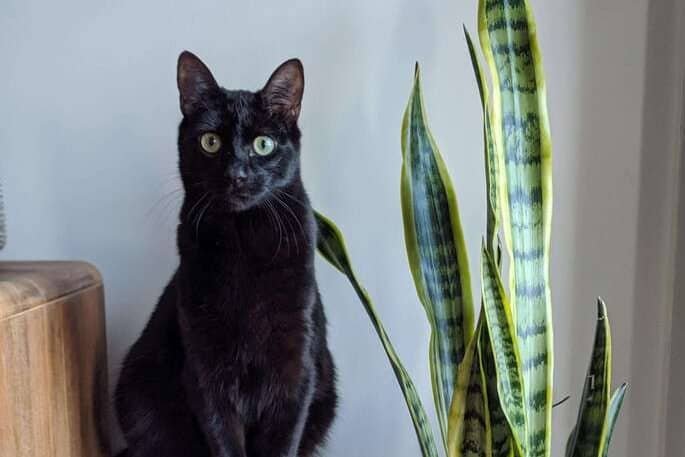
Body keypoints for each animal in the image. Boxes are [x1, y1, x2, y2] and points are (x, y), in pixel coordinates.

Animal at [116, 51, 338, 454]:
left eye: (263, 144)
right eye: (210, 142)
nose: (237, 174)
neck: (243, 240)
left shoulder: (296, 367)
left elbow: (283, 442)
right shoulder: (204, 371)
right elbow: (224, 441)